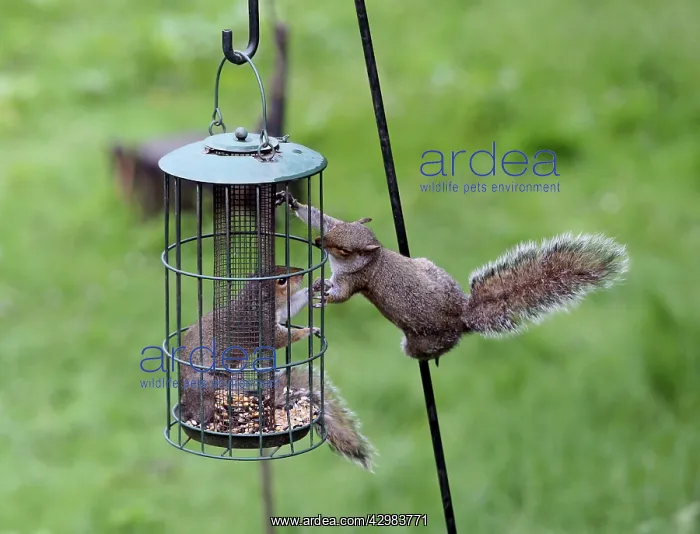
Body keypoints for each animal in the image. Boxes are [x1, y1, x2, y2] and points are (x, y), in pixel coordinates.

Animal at [178, 265, 320, 425]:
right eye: (282, 280)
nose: (301, 272)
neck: (254, 303)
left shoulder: (278, 311)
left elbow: (290, 307)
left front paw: (315, 287)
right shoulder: (263, 325)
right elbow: (281, 339)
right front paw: (308, 330)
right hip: (209, 383)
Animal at [275, 191, 629, 363]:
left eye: (345, 250)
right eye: (336, 232)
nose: (318, 243)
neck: (371, 258)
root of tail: (462, 316)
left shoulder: (357, 279)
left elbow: (343, 294)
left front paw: (324, 297)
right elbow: (319, 217)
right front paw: (292, 203)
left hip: (424, 342)